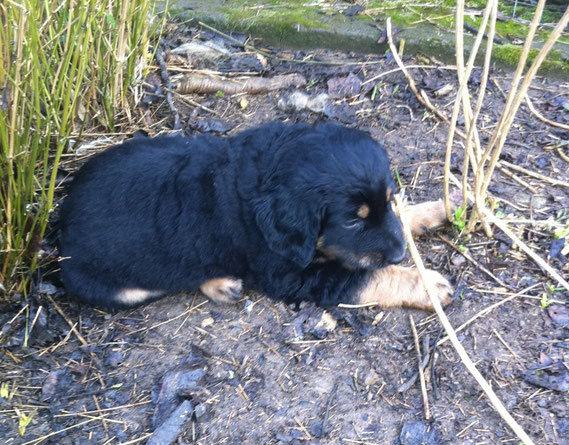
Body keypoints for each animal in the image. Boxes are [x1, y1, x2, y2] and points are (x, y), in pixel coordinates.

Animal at [60, 121, 452, 308]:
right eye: (352, 220)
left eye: (388, 199)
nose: (400, 254)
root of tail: (60, 218)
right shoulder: (289, 275)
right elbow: (366, 277)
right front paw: (427, 285)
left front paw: (440, 207)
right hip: (119, 288)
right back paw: (220, 283)